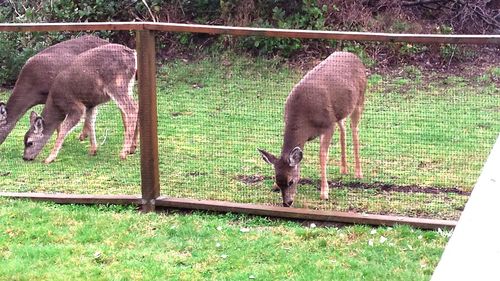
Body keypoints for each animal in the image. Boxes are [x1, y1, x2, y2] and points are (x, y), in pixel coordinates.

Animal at [260, 51, 366, 207]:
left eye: (291, 181)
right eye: (278, 181)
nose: (287, 203)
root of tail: (355, 56)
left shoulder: (327, 125)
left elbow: (322, 156)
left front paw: (324, 193)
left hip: (360, 99)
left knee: (355, 129)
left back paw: (358, 173)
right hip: (340, 111)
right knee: (343, 128)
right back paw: (343, 169)